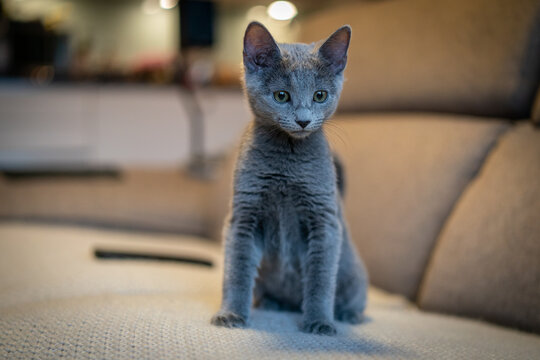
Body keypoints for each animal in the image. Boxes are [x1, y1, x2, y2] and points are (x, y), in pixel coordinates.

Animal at [210, 22, 368, 336]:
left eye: (320, 95)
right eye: (281, 96)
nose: (303, 120)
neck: (287, 161)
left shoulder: (324, 219)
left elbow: (320, 278)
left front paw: (320, 322)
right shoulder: (244, 215)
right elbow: (237, 270)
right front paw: (231, 314)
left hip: (353, 273)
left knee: (355, 296)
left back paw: (347, 314)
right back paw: (272, 303)